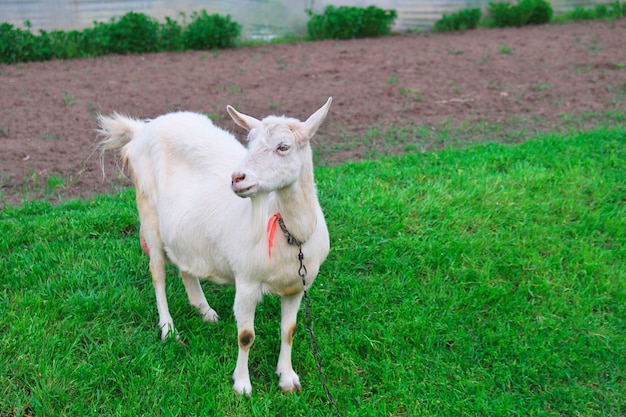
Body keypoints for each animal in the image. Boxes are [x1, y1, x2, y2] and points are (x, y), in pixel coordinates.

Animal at [97, 97, 332, 394]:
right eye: (250, 143)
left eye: (283, 147)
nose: (237, 178)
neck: (293, 234)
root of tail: (142, 129)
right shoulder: (246, 281)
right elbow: (246, 336)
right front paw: (242, 385)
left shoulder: (297, 286)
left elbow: (288, 330)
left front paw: (287, 378)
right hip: (148, 211)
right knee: (157, 273)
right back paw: (168, 328)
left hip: (183, 230)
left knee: (184, 263)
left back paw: (204, 310)